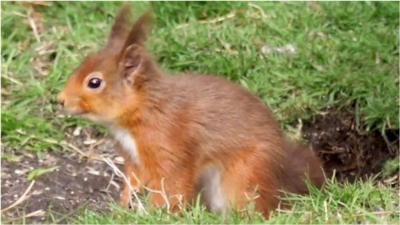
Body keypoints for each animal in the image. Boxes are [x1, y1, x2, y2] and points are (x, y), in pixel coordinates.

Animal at [57, 6, 324, 218]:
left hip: (245, 176)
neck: (143, 111)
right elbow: (132, 181)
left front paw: (159, 213)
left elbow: (172, 185)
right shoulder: (134, 158)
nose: (60, 100)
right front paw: (124, 206)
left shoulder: (170, 147)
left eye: (94, 82)